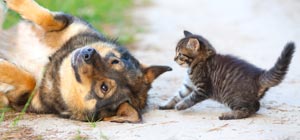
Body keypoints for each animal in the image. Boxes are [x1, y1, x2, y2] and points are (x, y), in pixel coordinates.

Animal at [0, 0, 171, 122]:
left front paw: (3, 66)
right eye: (115, 61)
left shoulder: (24, 100)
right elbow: (49, 18)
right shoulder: (72, 23)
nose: (88, 53)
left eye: (104, 87)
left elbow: (29, 80)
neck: (54, 61)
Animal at [159, 30, 296, 120]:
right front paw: (166, 105)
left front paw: (180, 105)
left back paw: (228, 115)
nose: (174, 59)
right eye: (176, 53)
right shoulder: (188, 86)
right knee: (255, 106)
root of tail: (258, 76)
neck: (199, 62)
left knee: (247, 110)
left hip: (231, 97)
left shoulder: (203, 89)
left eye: (180, 54)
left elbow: (190, 98)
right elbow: (177, 95)